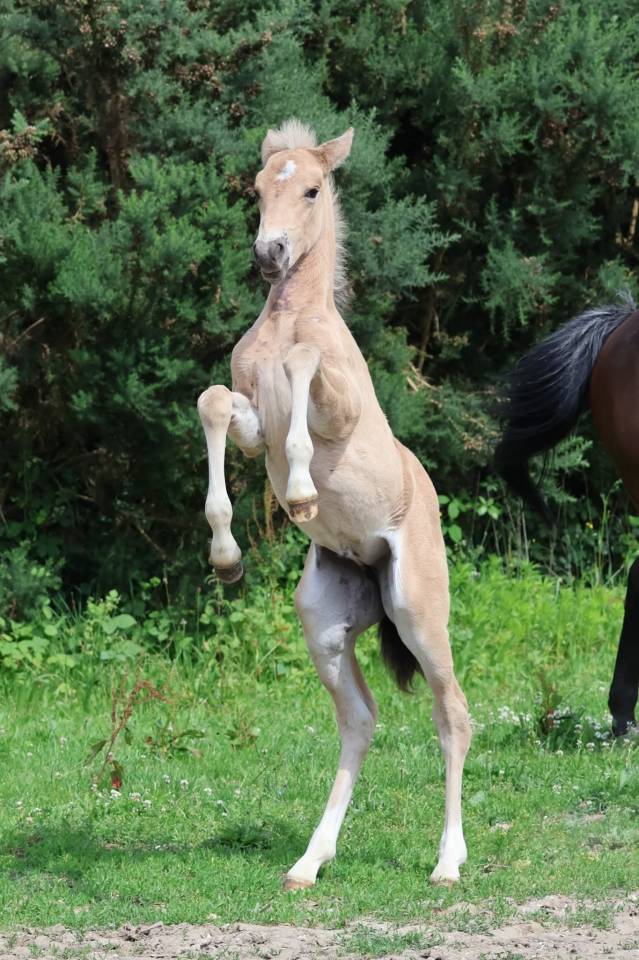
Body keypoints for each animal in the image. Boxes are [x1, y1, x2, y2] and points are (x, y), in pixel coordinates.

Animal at [196, 120, 471, 888]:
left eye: (313, 189)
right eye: (259, 187)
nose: (270, 253)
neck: (289, 319)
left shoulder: (338, 408)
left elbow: (303, 366)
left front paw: (301, 493)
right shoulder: (250, 422)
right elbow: (213, 404)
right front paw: (225, 556)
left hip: (417, 609)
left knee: (453, 713)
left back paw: (448, 862)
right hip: (321, 624)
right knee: (360, 720)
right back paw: (308, 862)